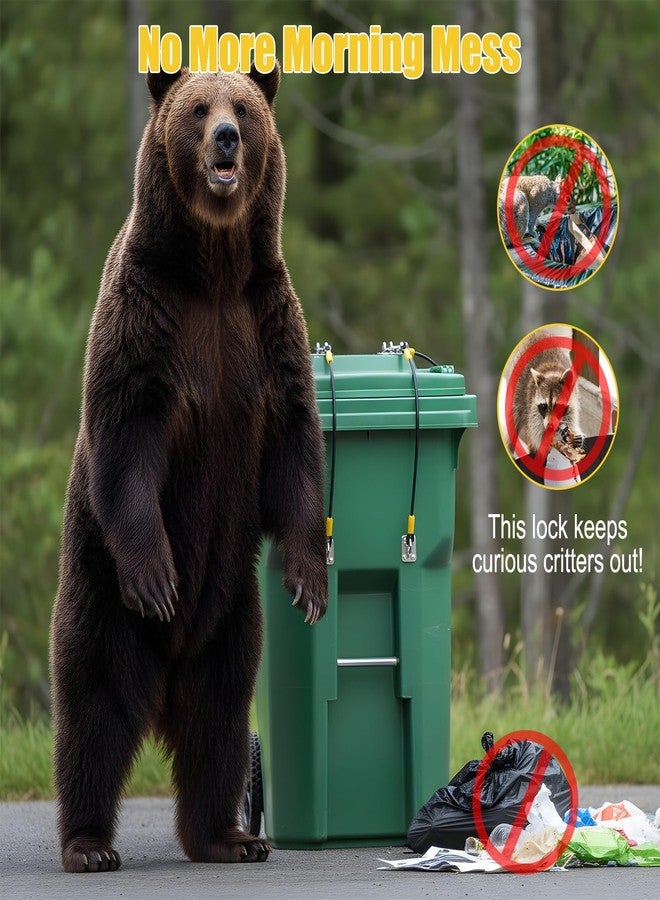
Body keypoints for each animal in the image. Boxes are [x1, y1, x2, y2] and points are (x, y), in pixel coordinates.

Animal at [50, 62, 328, 873]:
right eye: (198, 108)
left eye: (244, 107)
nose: (228, 138)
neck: (212, 269)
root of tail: (163, 684)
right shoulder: (147, 321)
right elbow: (126, 438)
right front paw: (156, 575)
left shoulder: (265, 329)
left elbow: (295, 448)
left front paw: (310, 579)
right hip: (100, 599)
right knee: (95, 713)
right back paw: (88, 844)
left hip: (230, 617)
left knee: (220, 723)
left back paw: (229, 835)